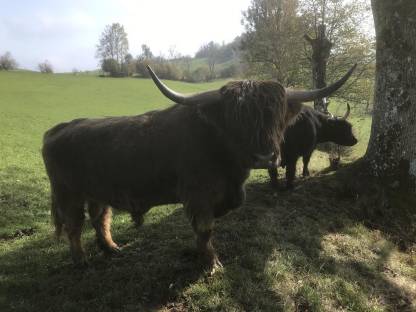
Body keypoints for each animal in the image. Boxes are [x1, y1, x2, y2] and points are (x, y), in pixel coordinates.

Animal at [41, 66, 354, 272]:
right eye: (236, 119)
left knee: (99, 218)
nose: (265, 156)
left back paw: (111, 249)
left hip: (98, 191)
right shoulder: (198, 196)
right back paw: (81, 260)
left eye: (276, 117)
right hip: (68, 193)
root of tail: (59, 128)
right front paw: (210, 263)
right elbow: (205, 229)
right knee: (74, 226)